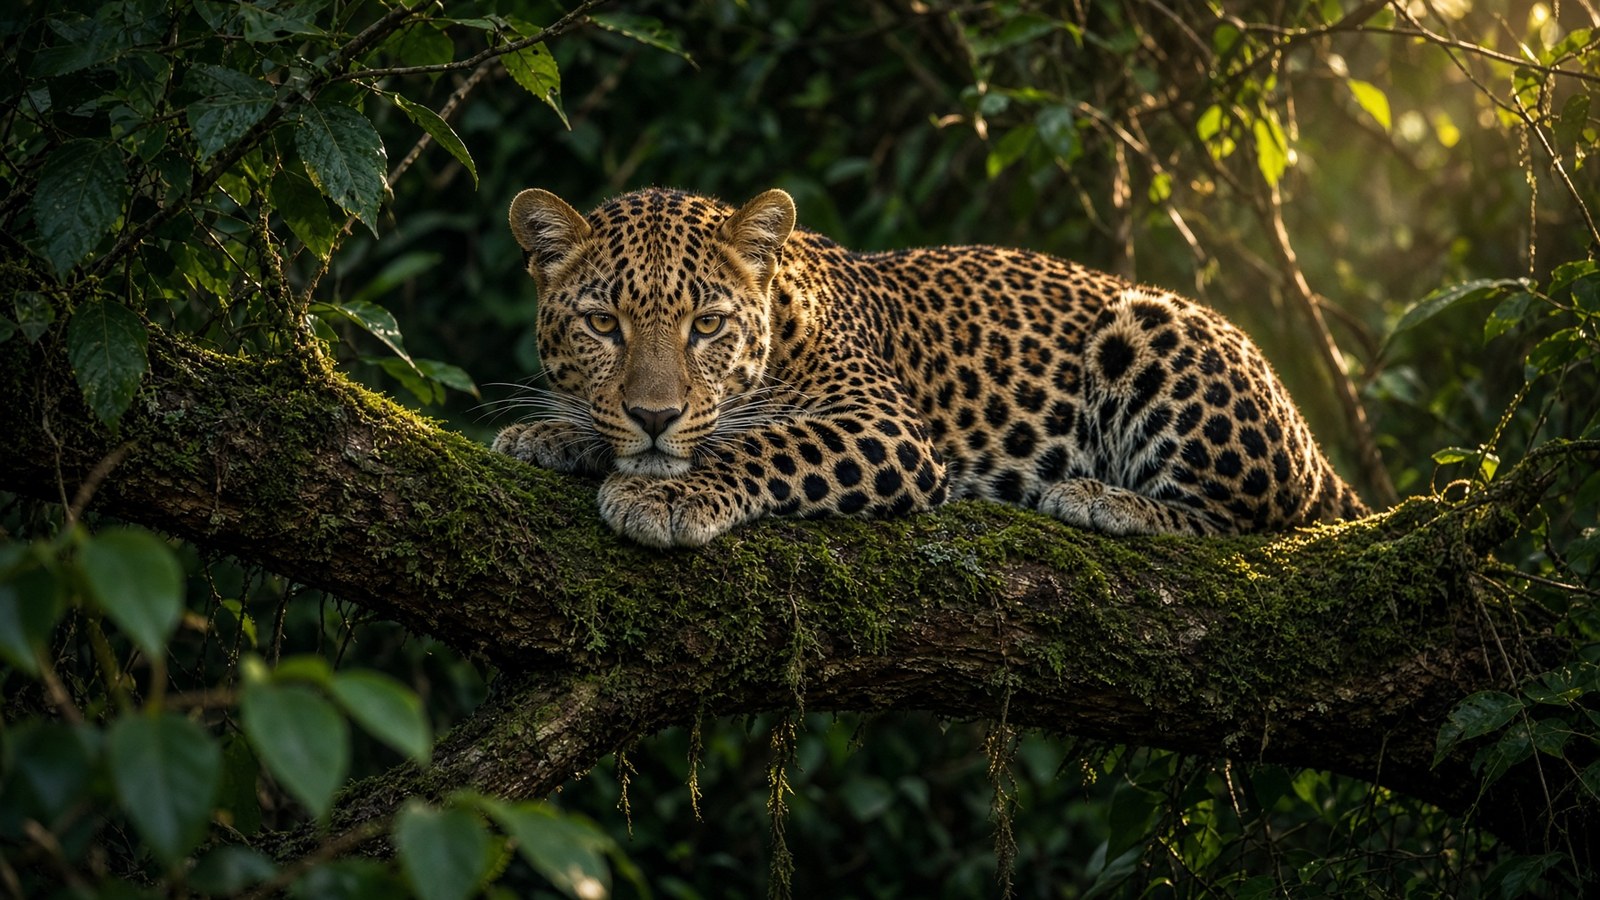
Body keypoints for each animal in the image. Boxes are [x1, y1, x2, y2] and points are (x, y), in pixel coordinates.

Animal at [493, 186, 1368, 548]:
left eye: (707, 325)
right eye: (603, 324)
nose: (654, 416)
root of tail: (1308, 436)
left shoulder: (885, 429)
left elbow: (761, 443)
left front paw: (662, 493)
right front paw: (546, 436)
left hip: (1150, 325)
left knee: (1248, 523)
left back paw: (1100, 500)